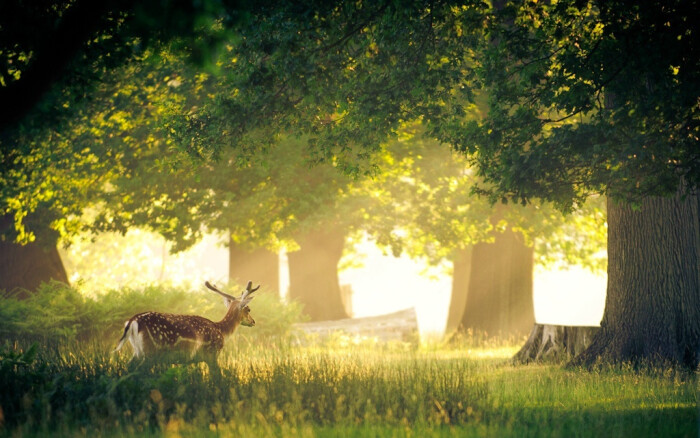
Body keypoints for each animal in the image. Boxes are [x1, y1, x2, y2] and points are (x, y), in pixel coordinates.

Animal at [113, 280, 258, 366]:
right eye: (248, 309)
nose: (253, 321)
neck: (221, 330)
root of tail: (132, 321)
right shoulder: (212, 354)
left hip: (138, 351)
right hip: (151, 350)